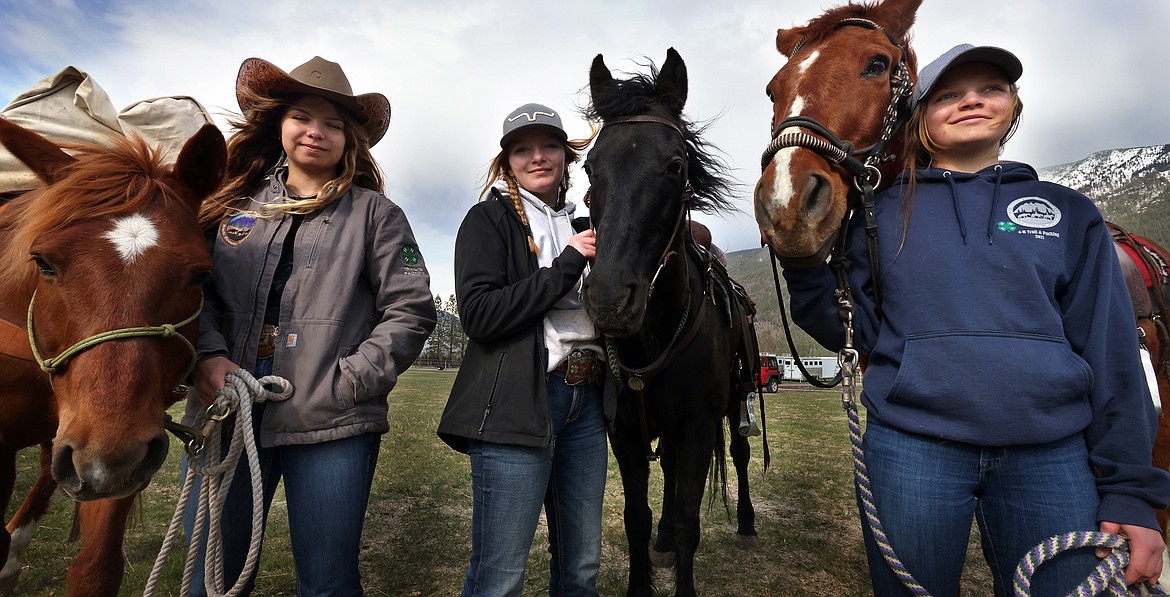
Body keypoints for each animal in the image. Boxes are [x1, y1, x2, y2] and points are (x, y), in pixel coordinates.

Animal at [582, 47, 762, 597]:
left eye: (675, 164)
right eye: (590, 166)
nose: (609, 299)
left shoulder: (699, 426)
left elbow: (689, 520)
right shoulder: (624, 431)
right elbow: (636, 517)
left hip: (735, 403)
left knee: (740, 455)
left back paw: (747, 523)